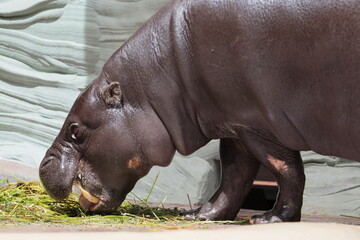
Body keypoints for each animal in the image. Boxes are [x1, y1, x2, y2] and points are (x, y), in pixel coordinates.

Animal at [39, 0, 360, 223]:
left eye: (75, 130)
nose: (42, 167)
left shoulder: (259, 125)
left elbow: (286, 169)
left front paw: (269, 219)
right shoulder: (235, 123)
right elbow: (233, 176)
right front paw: (198, 215)